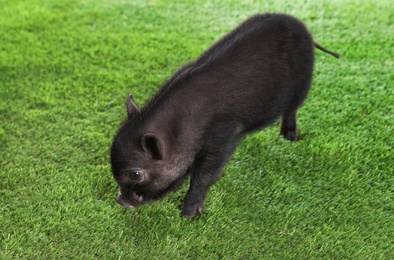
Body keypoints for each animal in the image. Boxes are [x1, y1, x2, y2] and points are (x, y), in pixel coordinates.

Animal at [111, 13, 338, 218]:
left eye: (135, 174)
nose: (121, 201)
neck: (182, 127)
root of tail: (305, 29)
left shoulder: (223, 136)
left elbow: (204, 175)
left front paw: (188, 215)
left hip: (302, 84)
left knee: (291, 110)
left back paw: (289, 138)